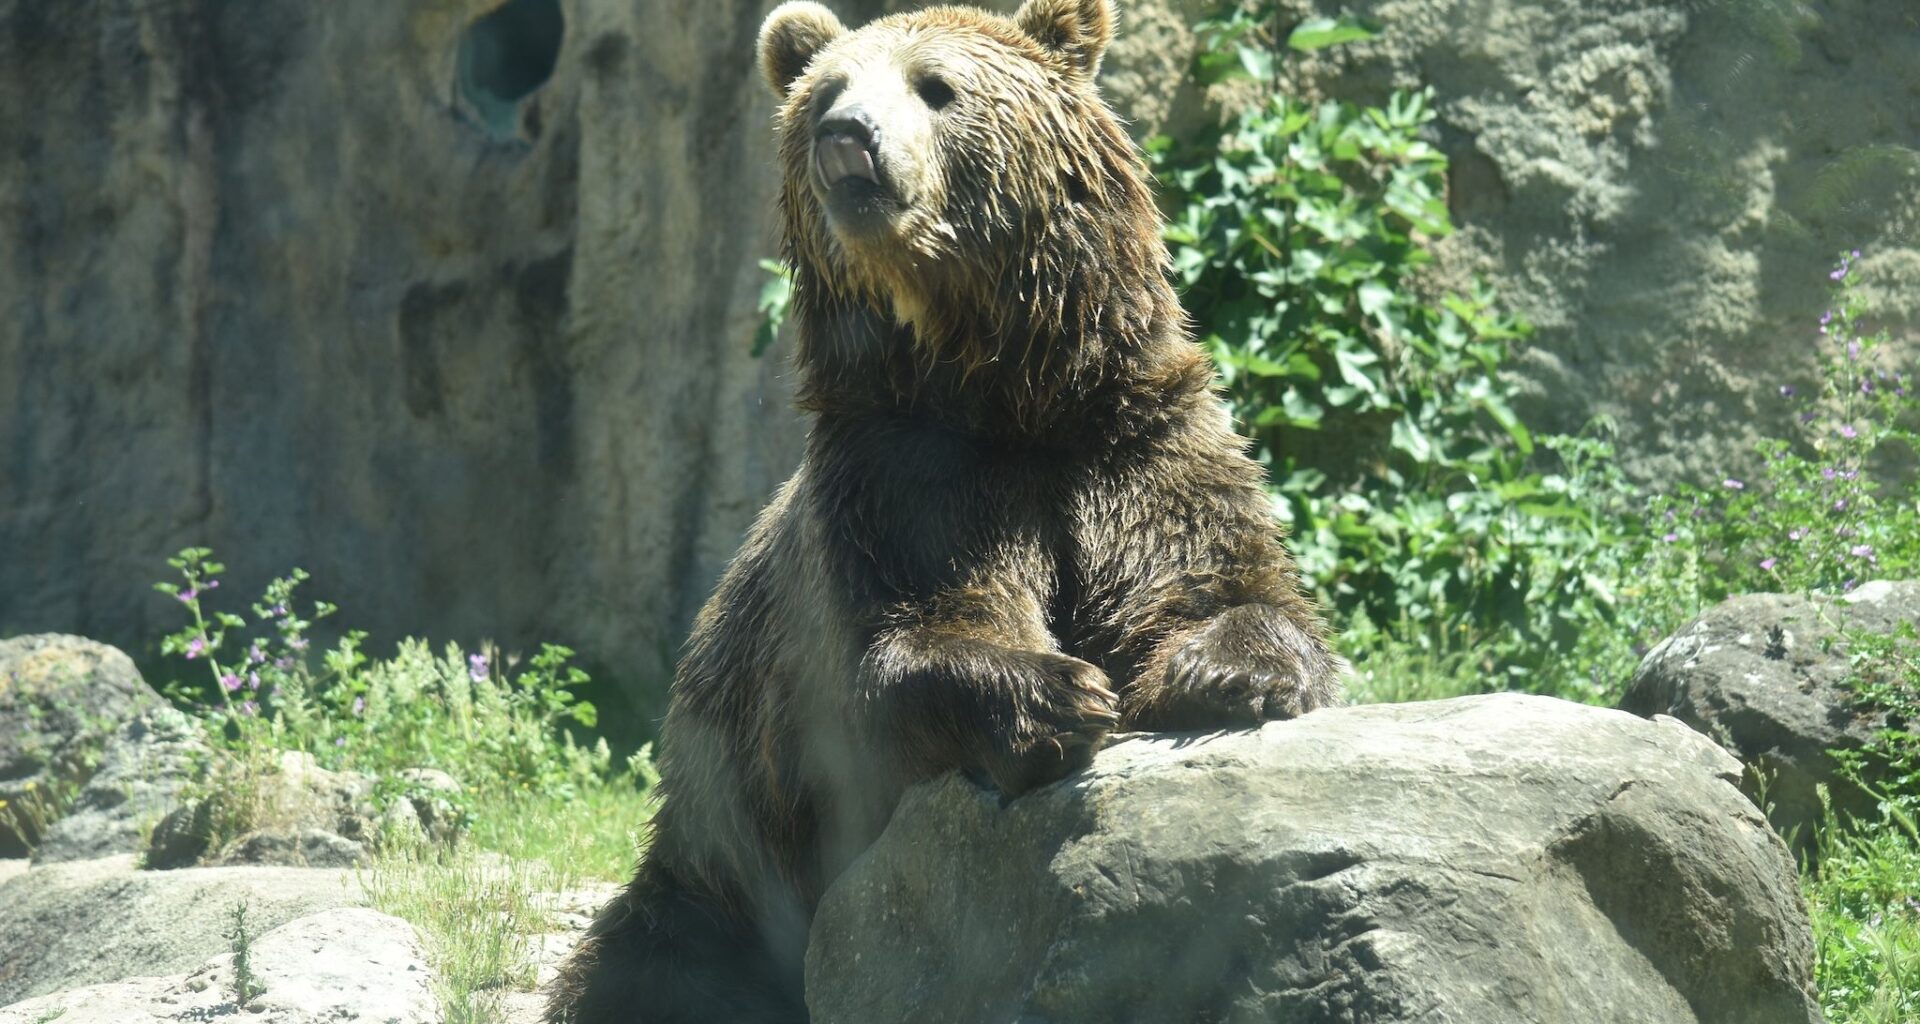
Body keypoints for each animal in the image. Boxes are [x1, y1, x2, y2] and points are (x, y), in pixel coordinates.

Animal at [543, 1, 1344, 1021]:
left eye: (936, 87)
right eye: (827, 94)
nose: (847, 138)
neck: (1003, 393)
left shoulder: (1135, 449)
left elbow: (1224, 583)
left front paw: (1224, 672)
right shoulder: (902, 481)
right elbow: (916, 636)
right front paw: (1057, 693)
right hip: (719, 862)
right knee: (645, 968)